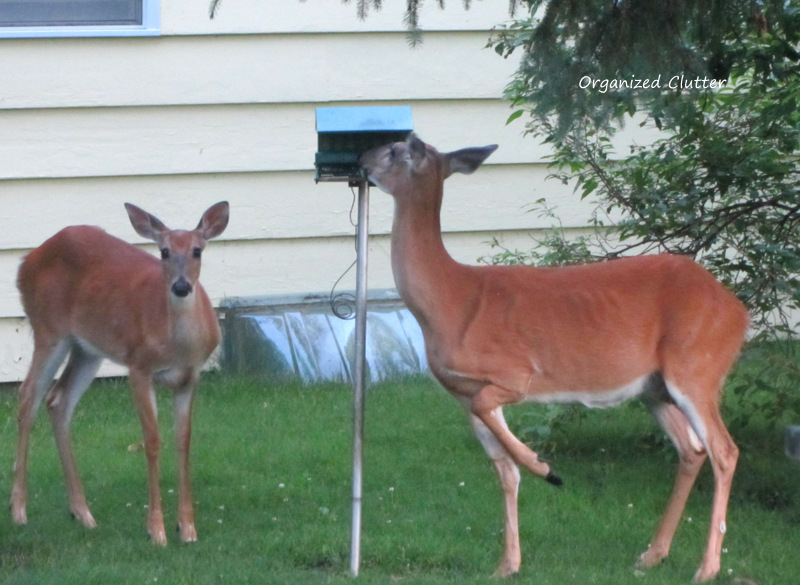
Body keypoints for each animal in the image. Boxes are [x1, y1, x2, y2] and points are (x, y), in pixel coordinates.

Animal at [10, 201, 228, 544]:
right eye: (164, 251)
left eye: (197, 250)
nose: (181, 286)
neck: (178, 346)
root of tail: (24, 261)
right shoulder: (138, 367)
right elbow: (152, 441)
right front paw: (157, 530)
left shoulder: (190, 378)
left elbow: (183, 441)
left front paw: (187, 528)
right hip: (48, 329)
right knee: (28, 397)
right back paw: (18, 511)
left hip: (88, 348)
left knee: (58, 400)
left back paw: (82, 513)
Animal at [360, 135, 752, 580]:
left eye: (393, 150)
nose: (361, 160)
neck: (450, 300)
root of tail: (739, 311)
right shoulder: (463, 394)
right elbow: (504, 469)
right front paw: (507, 564)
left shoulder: (514, 373)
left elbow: (502, 434)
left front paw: (546, 469)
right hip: (655, 389)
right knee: (692, 449)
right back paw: (652, 554)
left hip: (697, 366)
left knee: (724, 451)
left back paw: (706, 568)